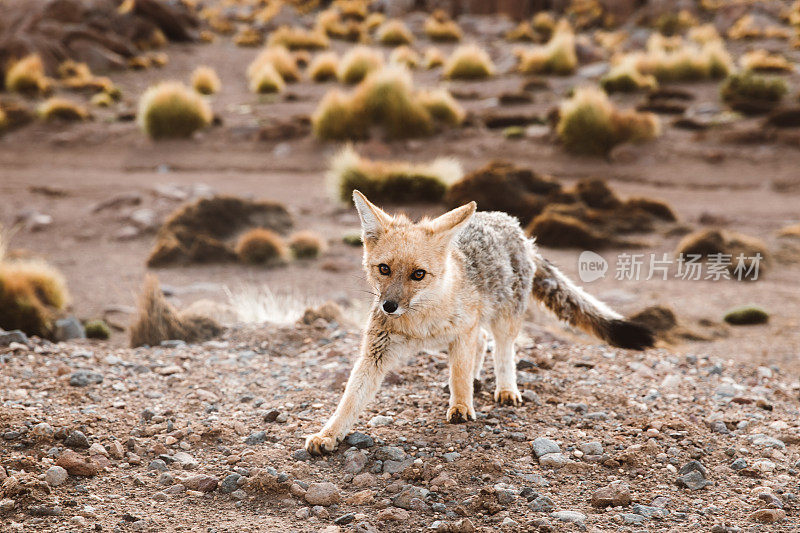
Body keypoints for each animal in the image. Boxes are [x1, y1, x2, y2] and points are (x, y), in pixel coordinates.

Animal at [304, 190, 652, 454]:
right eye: (384, 269)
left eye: (418, 274)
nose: (389, 306)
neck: (420, 323)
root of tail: (511, 223)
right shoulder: (376, 351)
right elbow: (350, 398)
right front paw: (328, 434)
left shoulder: (462, 333)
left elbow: (460, 373)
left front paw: (460, 407)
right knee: (482, 343)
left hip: (504, 319)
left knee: (501, 349)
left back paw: (506, 388)